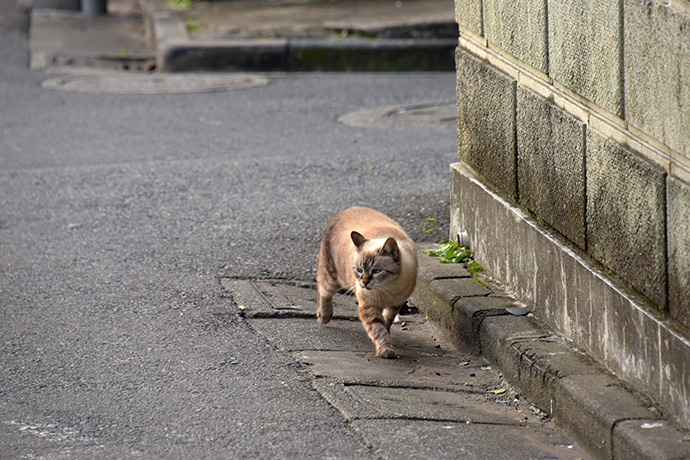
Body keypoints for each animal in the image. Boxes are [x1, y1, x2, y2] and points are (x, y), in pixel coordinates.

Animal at [314, 206, 416, 360]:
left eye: (377, 271)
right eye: (359, 270)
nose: (364, 282)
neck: (389, 287)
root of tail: (347, 209)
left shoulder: (396, 304)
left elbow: (386, 322)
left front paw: (388, 336)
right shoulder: (369, 307)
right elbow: (378, 330)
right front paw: (385, 349)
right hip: (332, 279)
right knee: (323, 289)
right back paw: (324, 316)